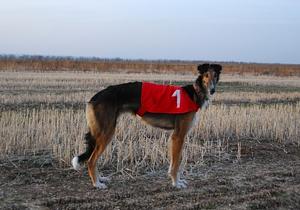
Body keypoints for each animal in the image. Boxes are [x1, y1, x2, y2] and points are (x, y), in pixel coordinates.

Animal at [72, 63, 223, 189]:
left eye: (215, 75)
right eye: (206, 75)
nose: (212, 90)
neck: (194, 93)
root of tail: (93, 98)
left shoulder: (176, 137)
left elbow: (174, 162)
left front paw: (177, 181)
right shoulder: (178, 136)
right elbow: (176, 163)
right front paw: (176, 183)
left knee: (93, 159)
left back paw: (100, 179)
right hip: (106, 132)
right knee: (91, 161)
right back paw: (97, 184)